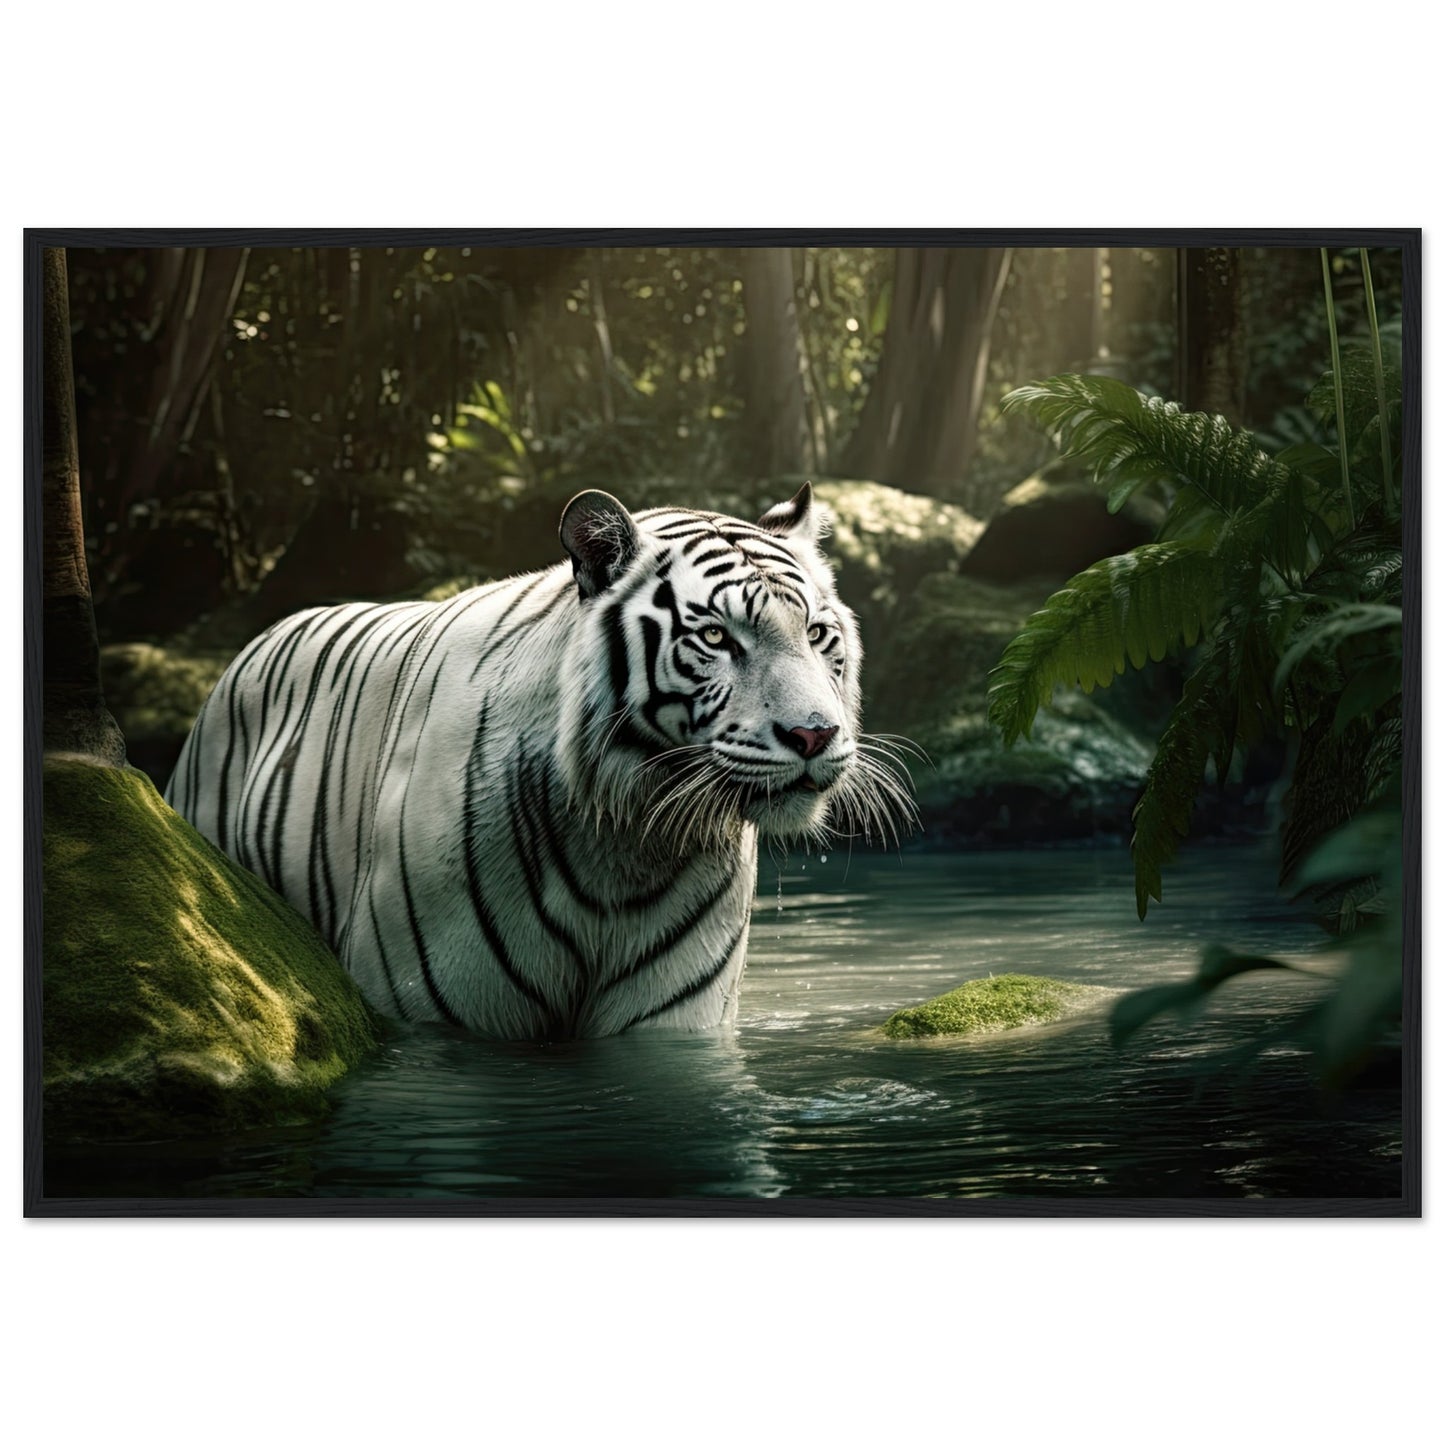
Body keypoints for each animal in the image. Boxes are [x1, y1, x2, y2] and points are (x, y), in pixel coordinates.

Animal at [165, 483, 914, 1039]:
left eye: (816, 634)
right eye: (714, 638)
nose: (814, 734)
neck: (626, 840)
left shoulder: (671, 1018)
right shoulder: (440, 1011)